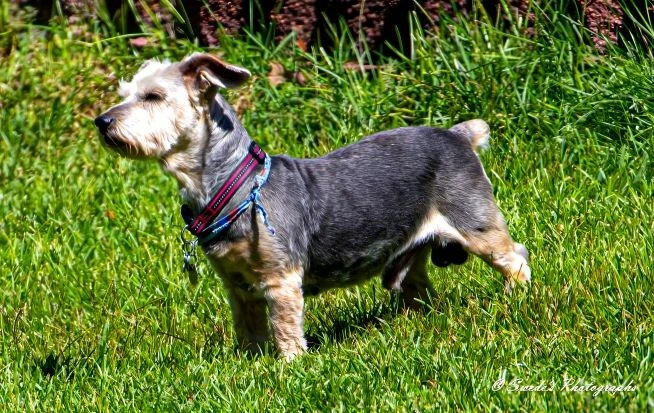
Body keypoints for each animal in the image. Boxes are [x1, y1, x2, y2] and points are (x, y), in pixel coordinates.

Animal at [93, 53, 532, 358]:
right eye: (125, 94)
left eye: (153, 96)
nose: (102, 121)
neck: (234, 186)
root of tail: (458, 135)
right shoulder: (236, 284)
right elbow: (248, 327)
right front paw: (248, 362)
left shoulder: (281, 278)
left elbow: (285, 326)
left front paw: (289, 365)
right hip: (411, 253)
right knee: (416, 284)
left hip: (474, 219)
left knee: (514, 256)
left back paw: (517, 299)